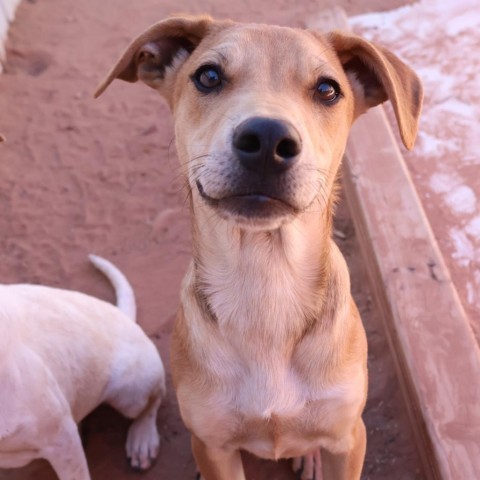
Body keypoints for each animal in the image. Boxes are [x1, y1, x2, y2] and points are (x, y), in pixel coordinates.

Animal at [96, 15, 420, 480]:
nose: (268, 139)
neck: (266, 286)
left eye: (327, 89)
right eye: (209, 76)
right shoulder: (212, 444)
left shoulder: (349, 437)